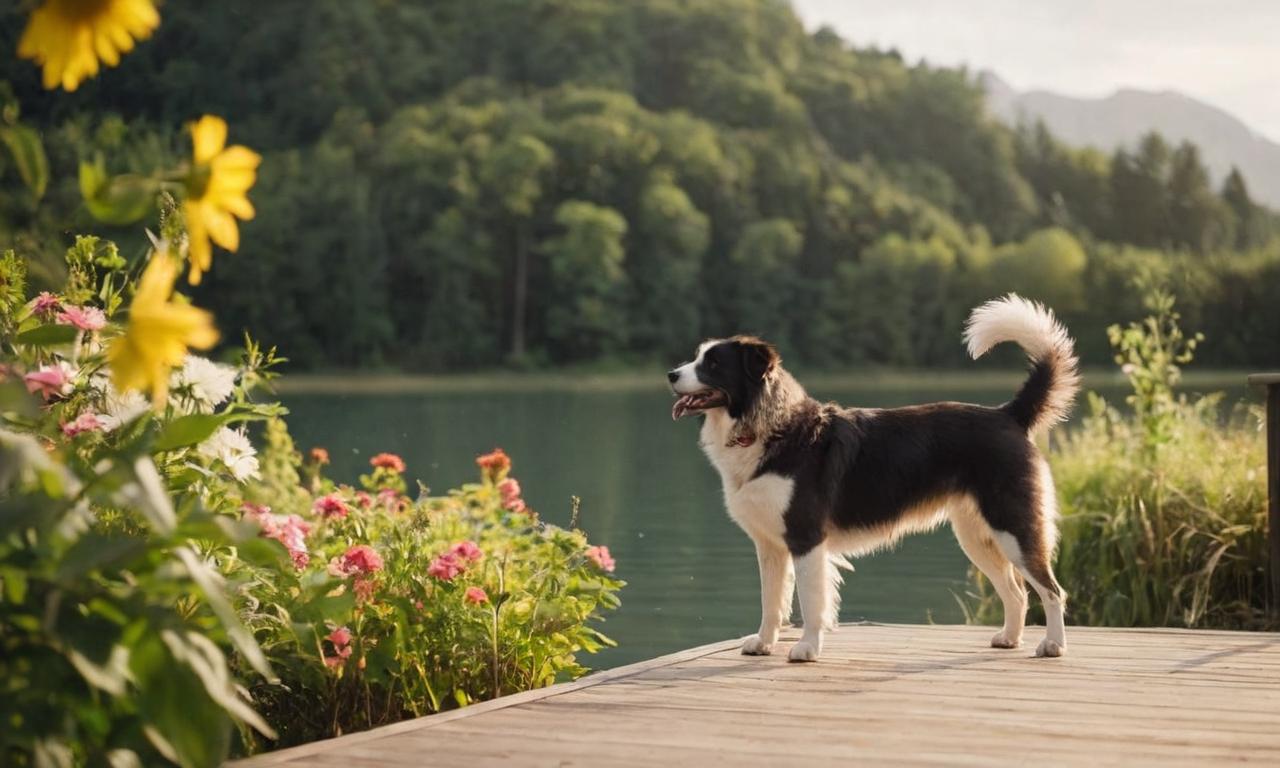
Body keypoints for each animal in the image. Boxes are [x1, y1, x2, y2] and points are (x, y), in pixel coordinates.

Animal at [670, 294, 1080, 660]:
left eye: (713, 364)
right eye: (697, 357)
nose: (672, 374)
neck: (768, 428)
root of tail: (1007, 414)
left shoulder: (806, 537)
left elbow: (811, 600)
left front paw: (807, 649)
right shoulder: (770, 544)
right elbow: (772, 600)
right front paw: (764, 643)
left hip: (1014, 527)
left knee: (1052, 590)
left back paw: (1054, 645)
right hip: (977, 535)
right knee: (1017, 591)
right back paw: (1010, 639)